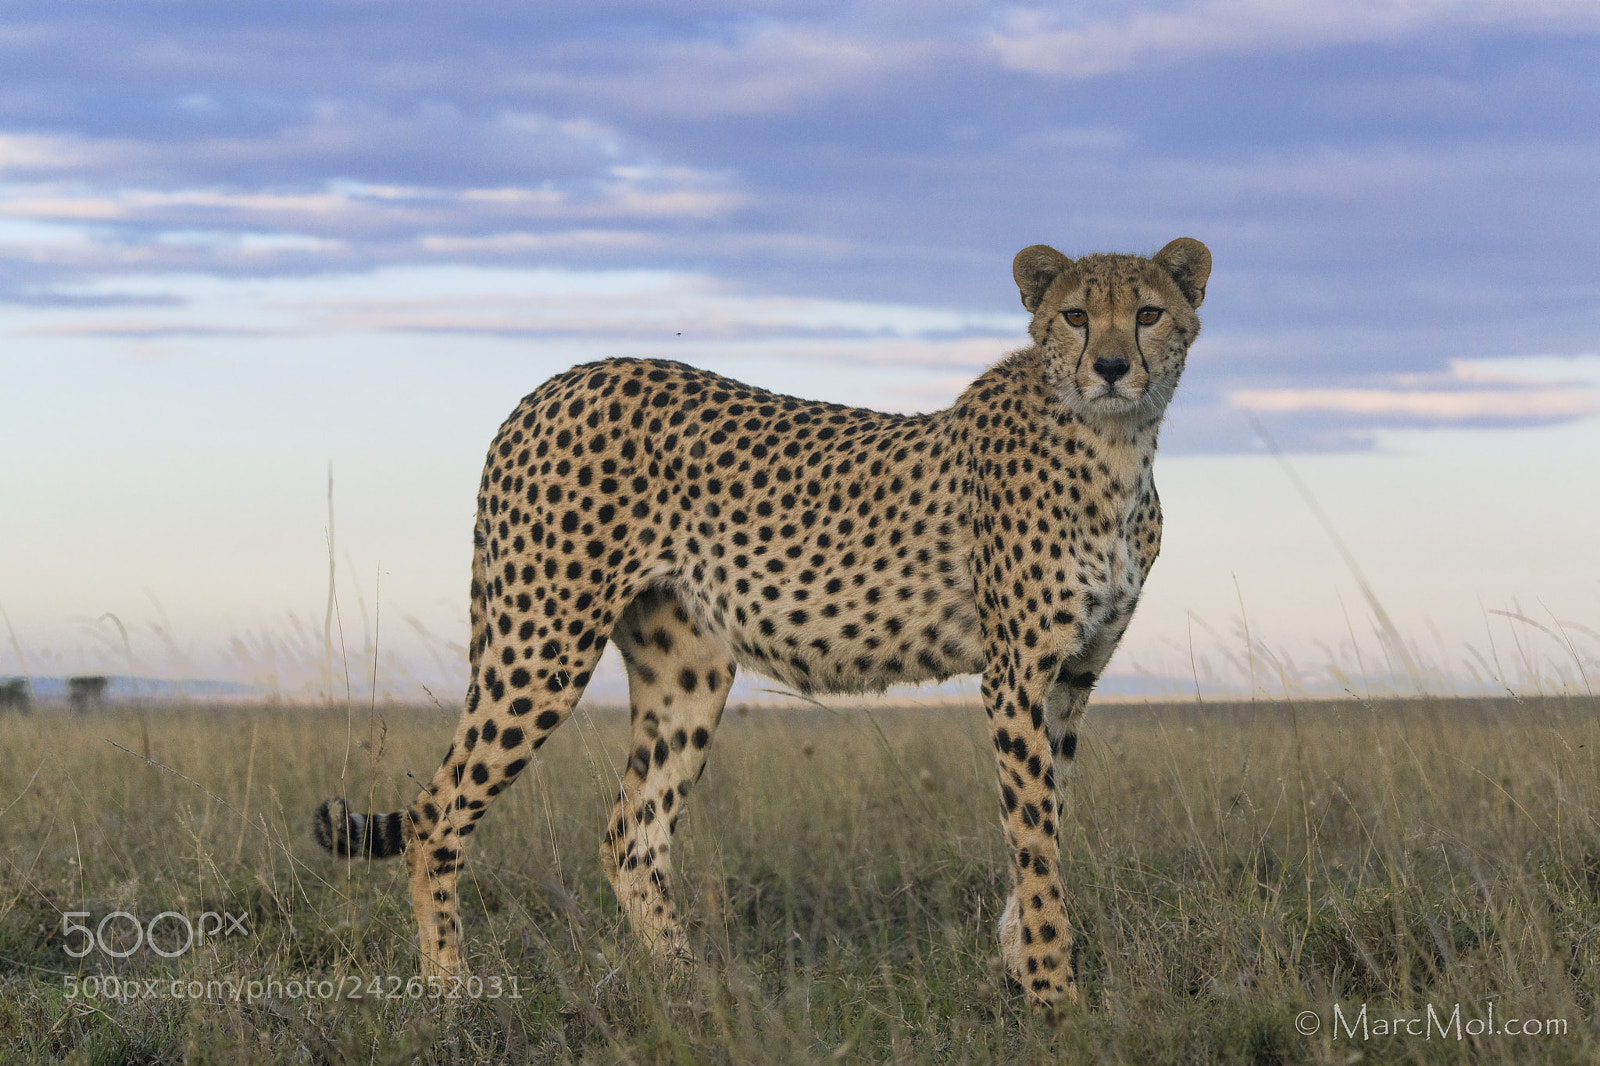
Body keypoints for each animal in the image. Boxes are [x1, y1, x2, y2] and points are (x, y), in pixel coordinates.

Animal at [314, 237, 1210, 1008]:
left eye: (1149, 312)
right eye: (1076, 316)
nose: (1112, 367)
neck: (1117, 448)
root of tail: (555, 384)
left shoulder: (1072, 677)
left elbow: (1048, 818)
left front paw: (1019, 957)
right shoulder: (1015, 674)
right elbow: (1034, 837)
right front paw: (1055, 993)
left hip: (687, 669)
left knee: (632, 833)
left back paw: (693, 991)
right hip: (543, 641)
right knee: (435, 815)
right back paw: (449, 993)